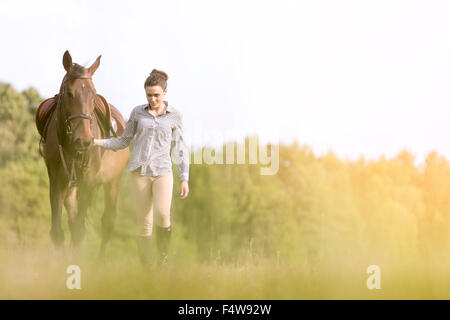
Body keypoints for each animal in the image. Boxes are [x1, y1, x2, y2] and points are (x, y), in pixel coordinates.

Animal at [36, 51, 129, 258]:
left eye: (92, 94)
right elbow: (58, 231)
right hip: (71, 187)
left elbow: (79, 230)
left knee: (107, 222)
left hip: (113, 182)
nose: (85, 140)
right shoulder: (56, 181)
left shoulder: (89, 181)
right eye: (69, 93)